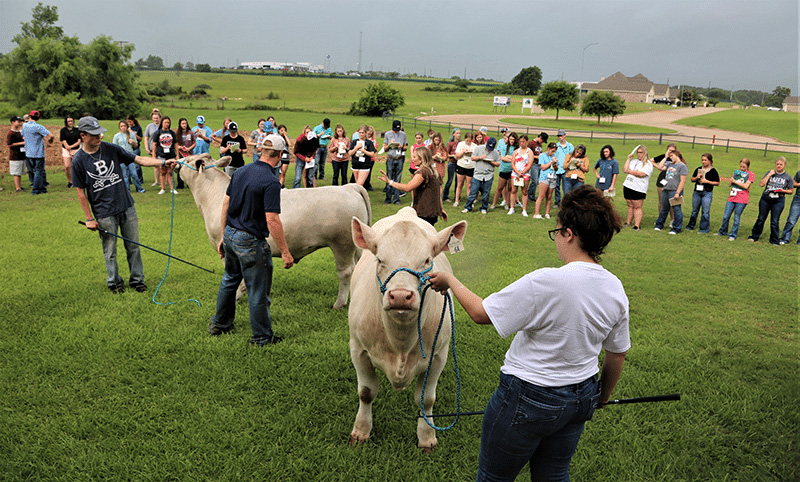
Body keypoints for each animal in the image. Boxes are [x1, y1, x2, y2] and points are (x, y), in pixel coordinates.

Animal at [348, 207, 468, 452]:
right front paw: (361, 430)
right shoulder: (357, 349)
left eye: (427, 260)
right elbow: (366, 393)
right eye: (380, 259)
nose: (401, 296)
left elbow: (427, 399)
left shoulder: (438, 355)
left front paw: (427, 436)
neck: (400, 341)